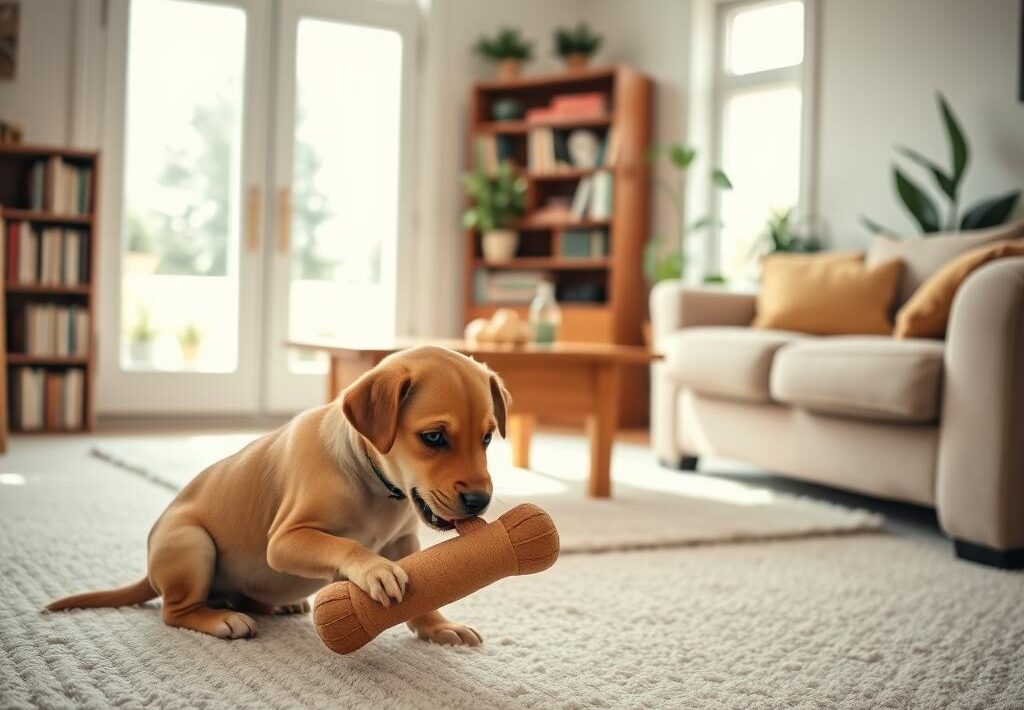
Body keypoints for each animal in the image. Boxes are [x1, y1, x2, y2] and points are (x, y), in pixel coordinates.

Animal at [48, 346, 512, 643]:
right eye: (433, 437)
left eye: (488, 438)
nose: (480, 501)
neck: (374, 482)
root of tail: (150, 570)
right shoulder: (286, 540)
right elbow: (344, 545)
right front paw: (373, 569)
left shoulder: (402, 541)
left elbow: (425, 591)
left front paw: (438, 627)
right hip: (191, 544)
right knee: (174, 611)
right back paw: (222, 620)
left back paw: (276, 605)